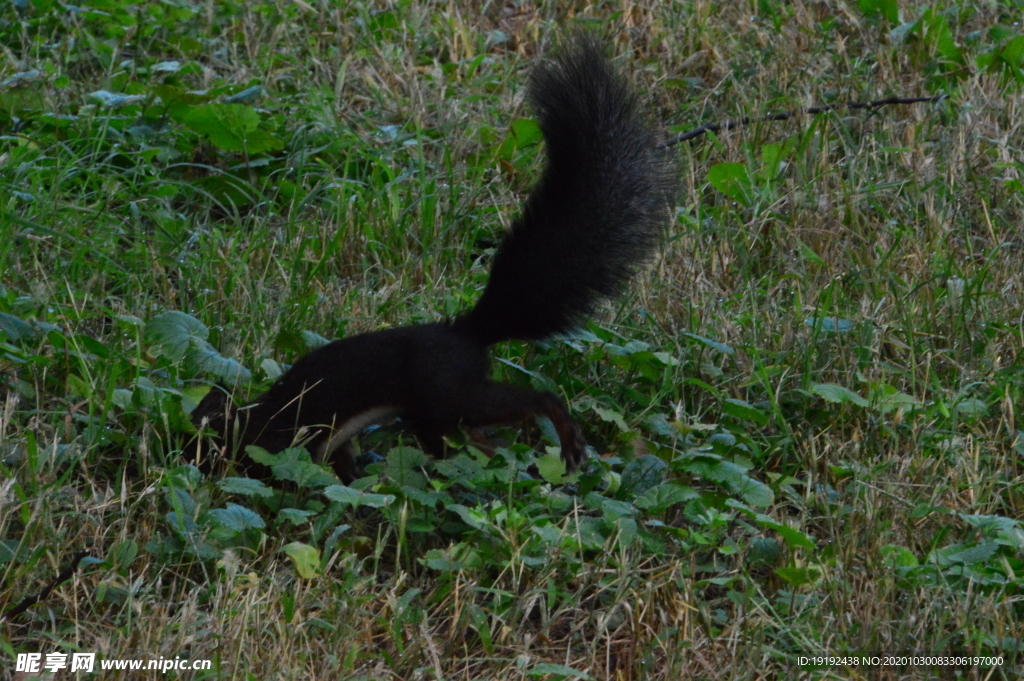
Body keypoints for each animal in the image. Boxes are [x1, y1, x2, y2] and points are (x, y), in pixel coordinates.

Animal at [194, 35, 675, 483]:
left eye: (202, 437)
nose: (190, 456)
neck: (252, 417)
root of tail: (464, 333)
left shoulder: (284, 440)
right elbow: (340, 464)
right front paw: (354, 480)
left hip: (447, 394)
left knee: (518, 403)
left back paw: (562, 435)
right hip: (437, 413)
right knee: (469, 438)